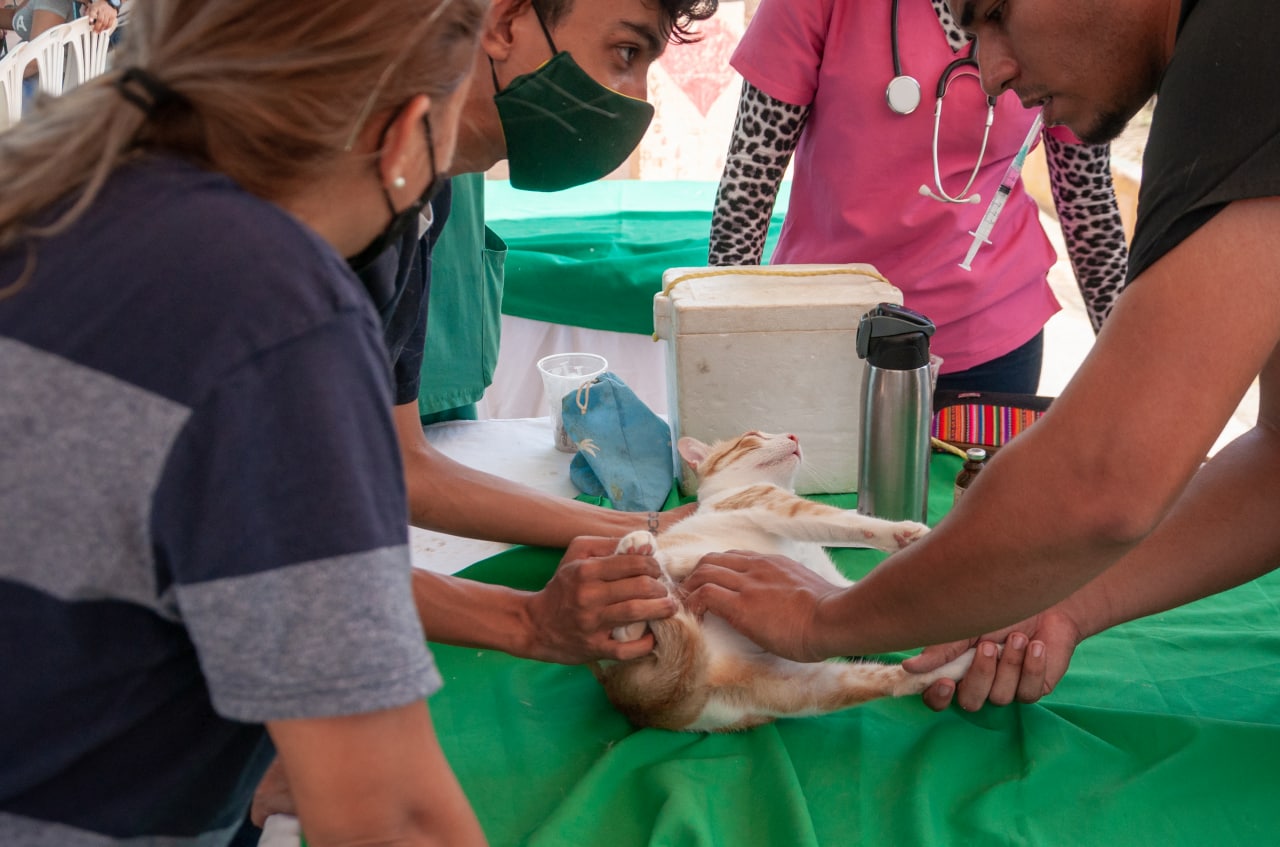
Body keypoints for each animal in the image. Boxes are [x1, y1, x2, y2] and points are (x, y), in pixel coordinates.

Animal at [593, 435, 972, 731]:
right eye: (751, 438)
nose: (793, 435)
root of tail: (658, 705)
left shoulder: (825, 575)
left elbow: (850, 588)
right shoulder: (781, 507)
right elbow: (844, 520)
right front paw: (907, 532)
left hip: (807, 691)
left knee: (893, 682)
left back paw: (957, 664)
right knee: (631, 628)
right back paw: (640, 557)